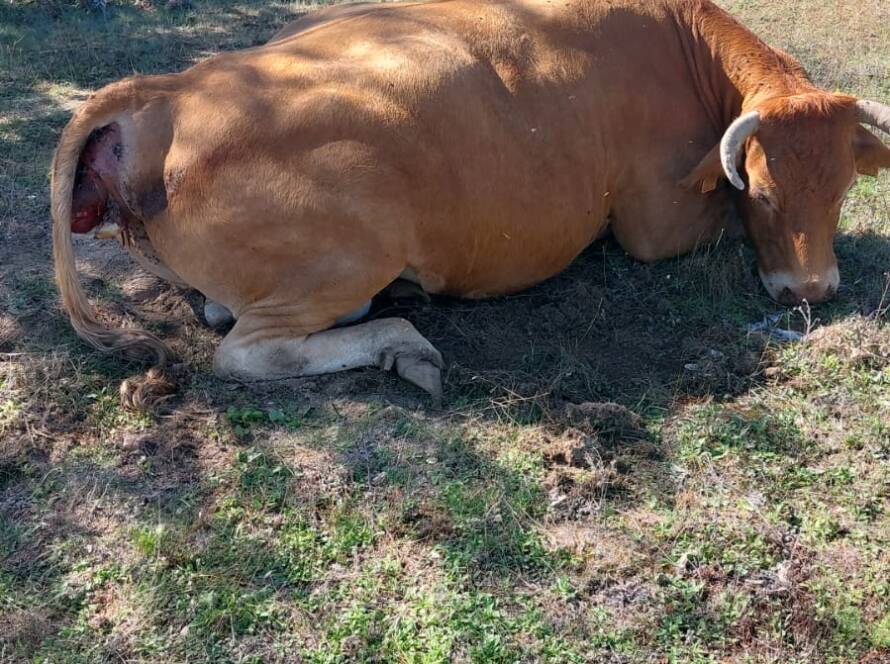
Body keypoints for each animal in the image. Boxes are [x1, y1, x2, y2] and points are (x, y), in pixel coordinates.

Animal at [52, 0, 890, 403]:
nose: (812, 290)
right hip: (349, 255)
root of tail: (169, 91)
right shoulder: (653, 223)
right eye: (768, 193)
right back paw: (402, 344)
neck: (680, 46)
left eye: (846, 188)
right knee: (250, 351)